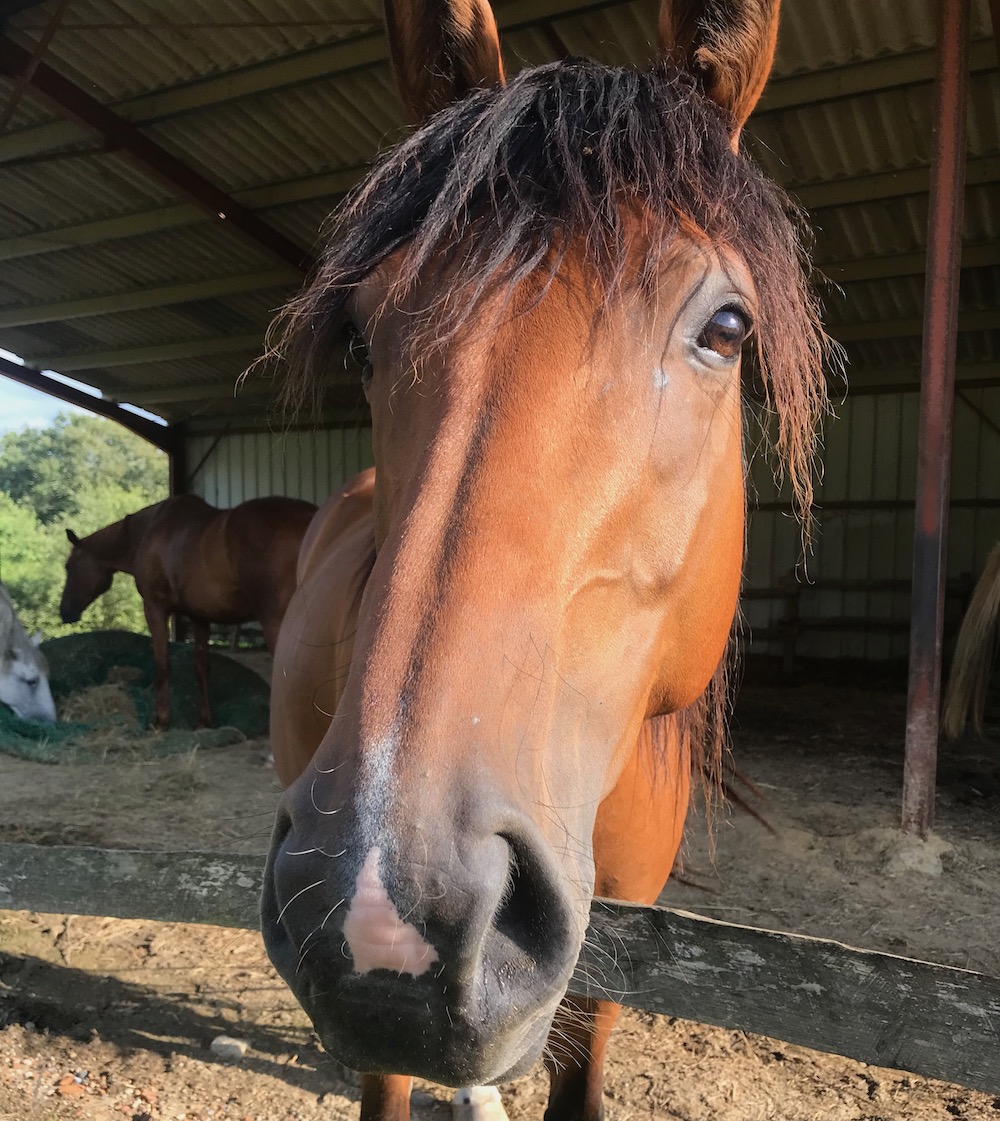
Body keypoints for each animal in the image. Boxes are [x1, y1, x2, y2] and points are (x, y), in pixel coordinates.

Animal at [59, 497, 316, 726]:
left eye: (69, 567)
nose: (64, 612)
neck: (147, 533)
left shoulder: (154, 608)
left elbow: (162, 664)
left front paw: (161, 720)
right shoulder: (199, 616)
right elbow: (201, 668)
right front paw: (204, 720)